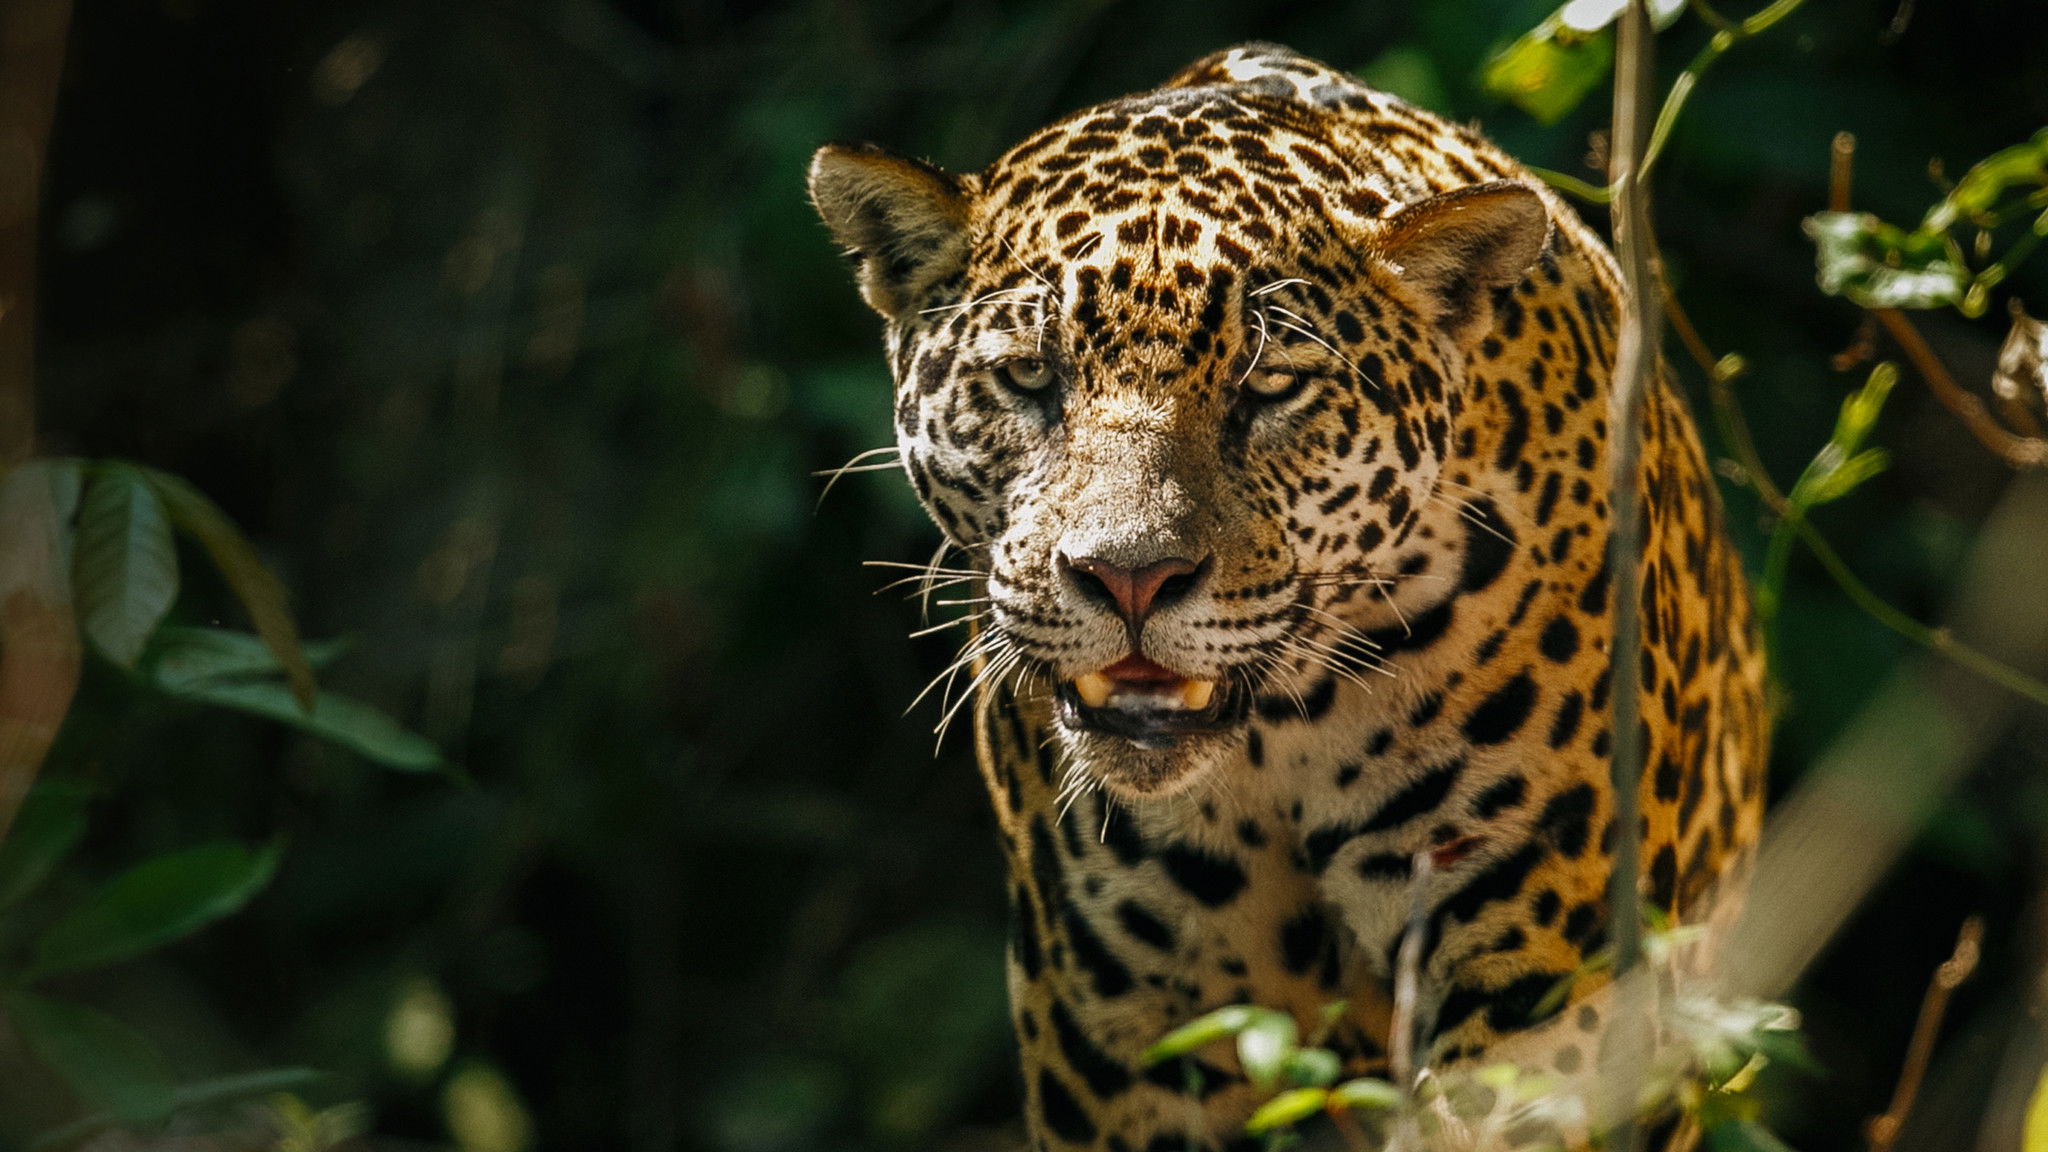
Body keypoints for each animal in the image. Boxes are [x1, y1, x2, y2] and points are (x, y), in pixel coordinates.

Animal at [808, 43, 1768, 1151]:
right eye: (1029, 379)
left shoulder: (1549, 970)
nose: (1127, 574)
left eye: (1269, 389)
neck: (1281, 742)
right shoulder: (1113, 1031)